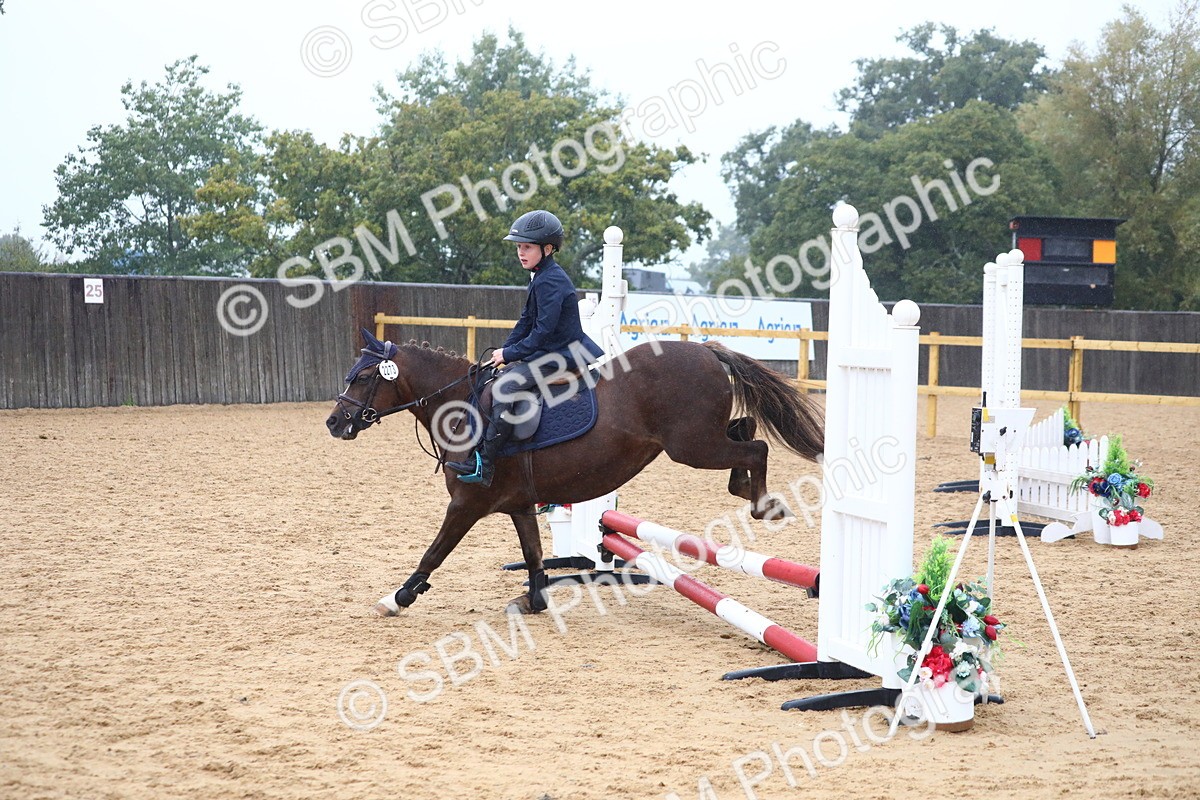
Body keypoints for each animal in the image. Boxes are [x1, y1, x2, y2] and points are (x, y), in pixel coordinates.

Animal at [326, 332, 824, 616]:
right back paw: (746, 489)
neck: (463, 407)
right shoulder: (519, 505)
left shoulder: (467, 503)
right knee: (746, 429)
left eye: (364, 376)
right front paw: (534, 600)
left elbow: (434, 552)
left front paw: (398, 598)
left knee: (756, 447)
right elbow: (532, 554)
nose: (333, 422)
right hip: (702, 440)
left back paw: (763, 504)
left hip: (693, 447)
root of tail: (704, 350)